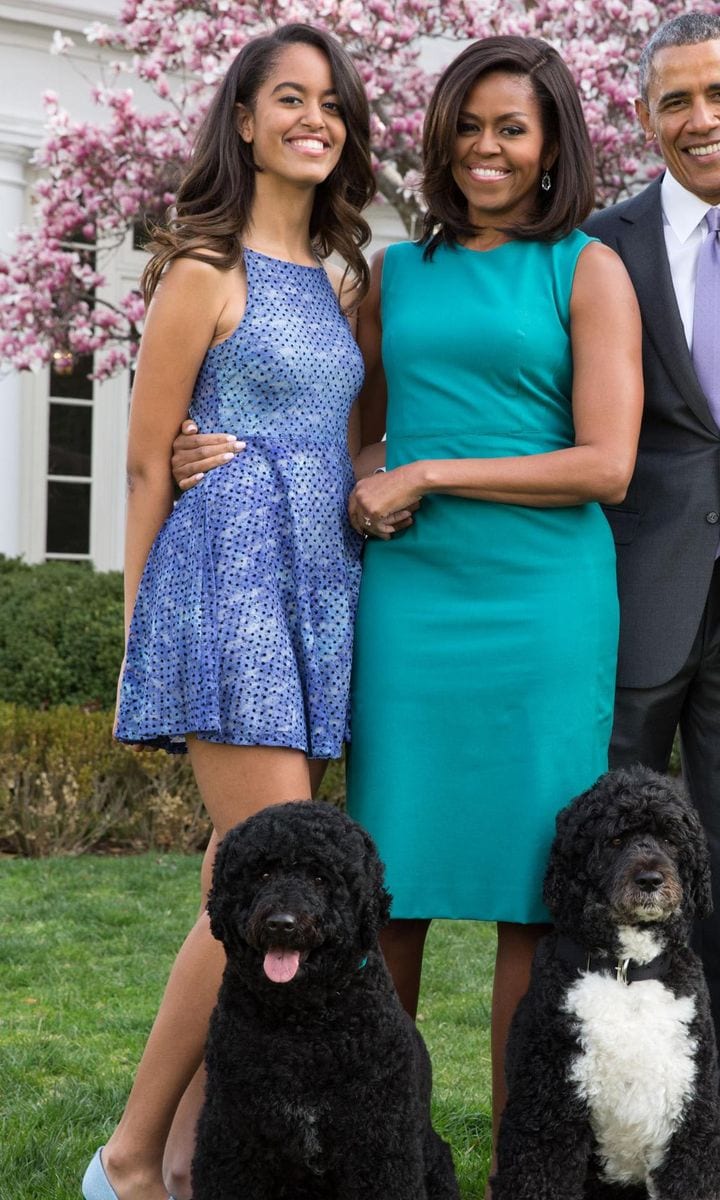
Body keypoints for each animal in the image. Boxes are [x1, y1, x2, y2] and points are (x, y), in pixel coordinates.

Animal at [189, 796, 460, 1200]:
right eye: (263, 874)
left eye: (320, 877)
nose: (281, 924)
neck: (302, 1026)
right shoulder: (232, 1133)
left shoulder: (379, 1141)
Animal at [492, 768, 720, 1200]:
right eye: (615, 840)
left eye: (670, 839)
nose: (650, 879)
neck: (626, 972)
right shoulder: (547, 1121)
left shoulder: (691, 1125)